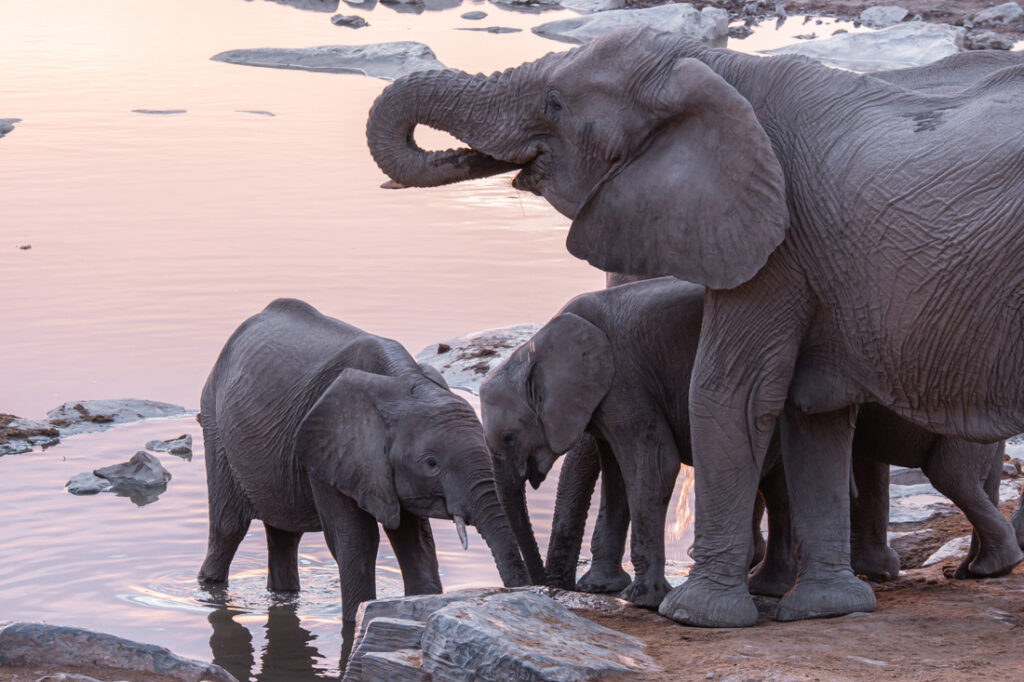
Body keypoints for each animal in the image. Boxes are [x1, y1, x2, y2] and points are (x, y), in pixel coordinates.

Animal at [197, 298, 529, 626]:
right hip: (214, 421)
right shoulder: (326, 452)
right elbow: (357, 543)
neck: (403, 381)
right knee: (229, 526)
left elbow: (417, 546)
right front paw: (355, 621)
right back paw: (209, 587)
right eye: (432, 464)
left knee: (285, 534)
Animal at [479, 276, 1019, 608]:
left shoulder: (629, 382)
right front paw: (600, 589)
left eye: (508, 435)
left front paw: (642, 600)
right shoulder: (611, 398)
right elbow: (616, 477)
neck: (538, 342)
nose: (539, 588)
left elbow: (652, 468)